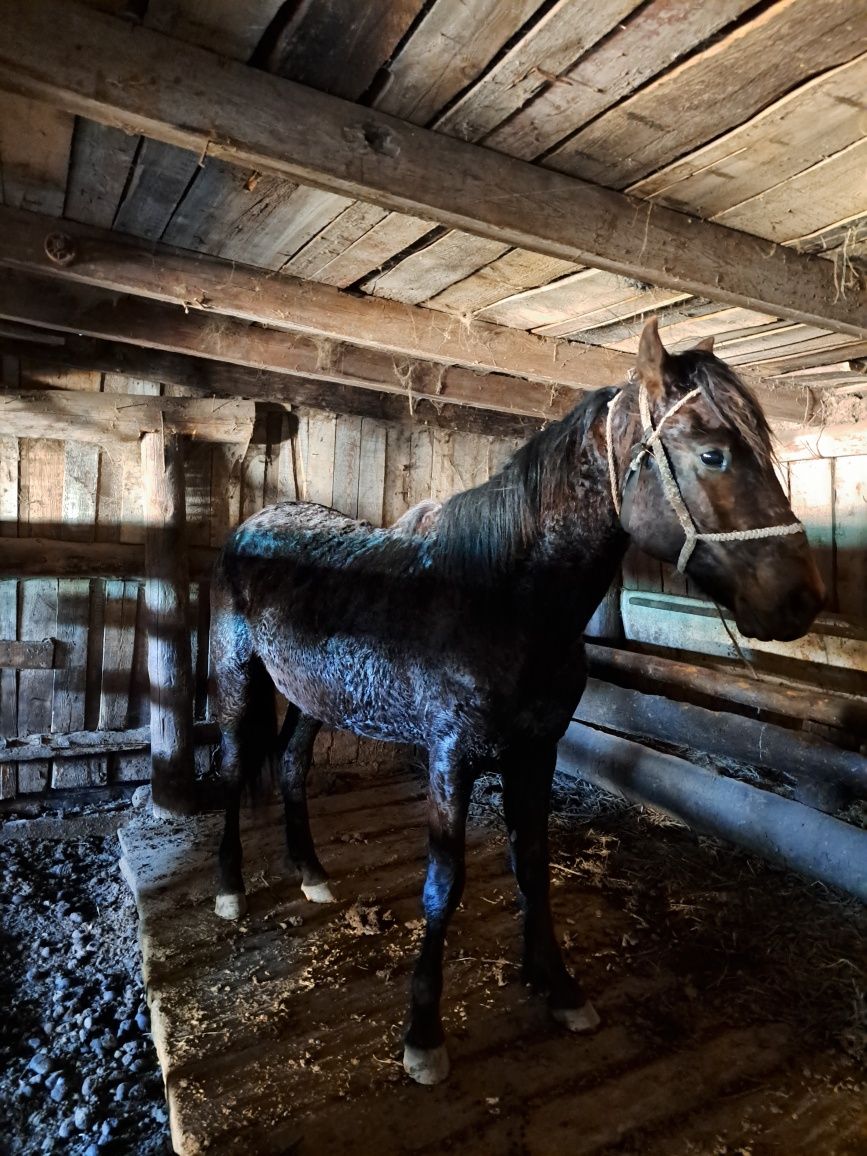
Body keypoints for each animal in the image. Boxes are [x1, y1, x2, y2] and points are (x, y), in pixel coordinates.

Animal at [212, 314, 827, 1082]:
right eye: (713, 454)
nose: (803, 599)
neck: (503, 601)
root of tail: (254, 523)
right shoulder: (450, 758)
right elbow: (443, 884)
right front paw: (423, 1035)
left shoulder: (536, 752)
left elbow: (532, 865)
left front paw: (557, 986)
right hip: (240, 678)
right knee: (233, 770)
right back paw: (230, 891)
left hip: (310, 695)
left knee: (292, 765)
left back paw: (312, 875)